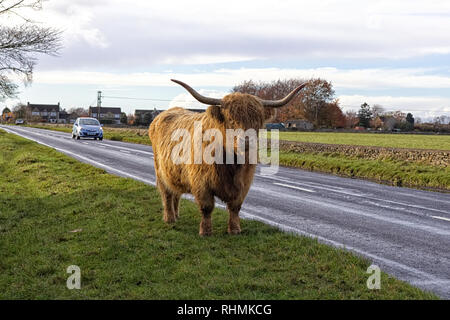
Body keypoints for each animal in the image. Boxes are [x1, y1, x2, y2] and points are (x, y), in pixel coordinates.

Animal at [149, 80, 306, 235]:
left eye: (257, 121)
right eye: (231, 119)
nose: (247, 141)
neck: (231, 163)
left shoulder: (244, 183)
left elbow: (235, 207)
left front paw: (235, 229)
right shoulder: (201, 183)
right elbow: (207, 207)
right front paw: (205, 231)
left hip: (174, 172)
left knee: (175, 192)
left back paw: (176, 215)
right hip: (160, 172)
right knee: (167, 194)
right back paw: (170, 218)